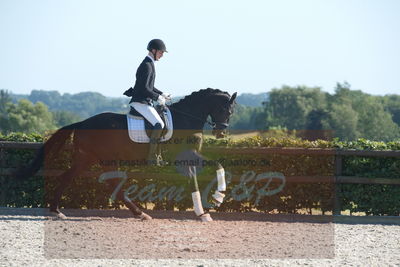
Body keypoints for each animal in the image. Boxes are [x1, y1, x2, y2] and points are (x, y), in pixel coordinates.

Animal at [14, 88, 236, 222]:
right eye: (225, 110)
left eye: (231, 112)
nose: (220, 132)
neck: (186, 119)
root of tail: (83, 122)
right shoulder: (183, 157)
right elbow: (196, 180)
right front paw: (206, 210)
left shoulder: (192, 155)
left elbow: (217, 166)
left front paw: (215, 201)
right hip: (104, 159)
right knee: (113, 185)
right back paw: (140, 213)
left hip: (87, 158)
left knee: (69, 177)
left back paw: (57, 210)